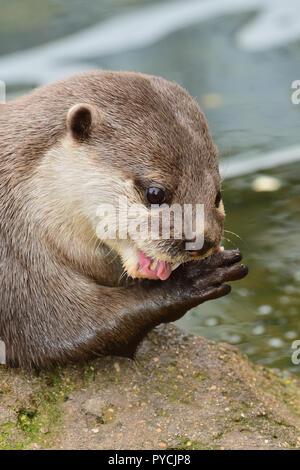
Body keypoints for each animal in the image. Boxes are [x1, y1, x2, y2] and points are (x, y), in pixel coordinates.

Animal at [0, 70, 248, 370]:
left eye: (217, 195)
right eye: (155, 193)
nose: (202, 241)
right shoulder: (14, 264)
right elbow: (61, 330)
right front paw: (191, 279)